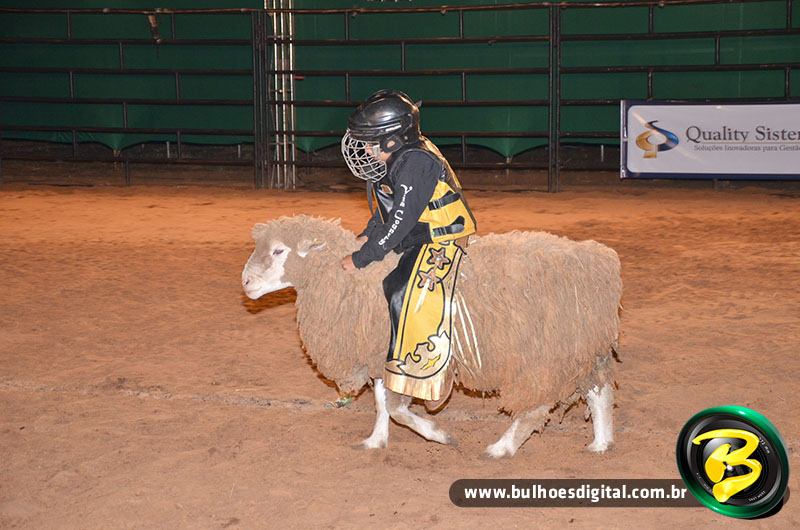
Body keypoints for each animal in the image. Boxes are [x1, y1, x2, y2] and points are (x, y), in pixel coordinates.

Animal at [242, 215, 622, 458]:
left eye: (279, 251)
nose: (245, 283)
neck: (354, 280)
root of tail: (599, 260)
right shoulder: (381, 355)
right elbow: (383, 402)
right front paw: (376, 441)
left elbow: (396, 407)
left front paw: (440, 435)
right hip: (580, 348)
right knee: (599, 393)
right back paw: (601, 444)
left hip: (543, 354)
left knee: (537, 405)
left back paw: (502, 448)